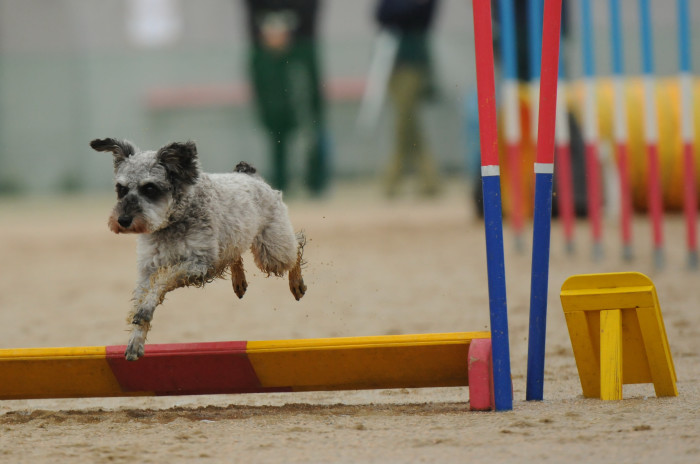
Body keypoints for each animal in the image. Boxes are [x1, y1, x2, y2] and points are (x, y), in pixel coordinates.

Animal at [89, 136, 304, 360]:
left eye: (149, 188)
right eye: (121, 189)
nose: (122, 220)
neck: (172, 221)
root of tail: (252, 176)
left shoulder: (198, 263)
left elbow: (163, 280)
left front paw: (145, 311)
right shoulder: (148, 269)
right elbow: (143, 296)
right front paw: (135, 342)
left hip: (273, 252)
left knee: (297, 244)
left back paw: (297, 284)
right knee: (235, 256)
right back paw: (239, 281)